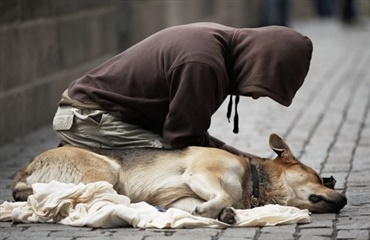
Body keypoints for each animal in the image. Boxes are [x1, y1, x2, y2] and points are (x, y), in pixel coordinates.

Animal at [12, 134, 346, 224]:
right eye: (319, 178)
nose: (344, 198)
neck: (252, 181)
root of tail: (25, 170)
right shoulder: (201, 174)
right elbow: (222, 195)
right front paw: (213, 211)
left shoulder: (185, 196)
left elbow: (212, 203)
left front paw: (222, 214)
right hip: (108, 172)